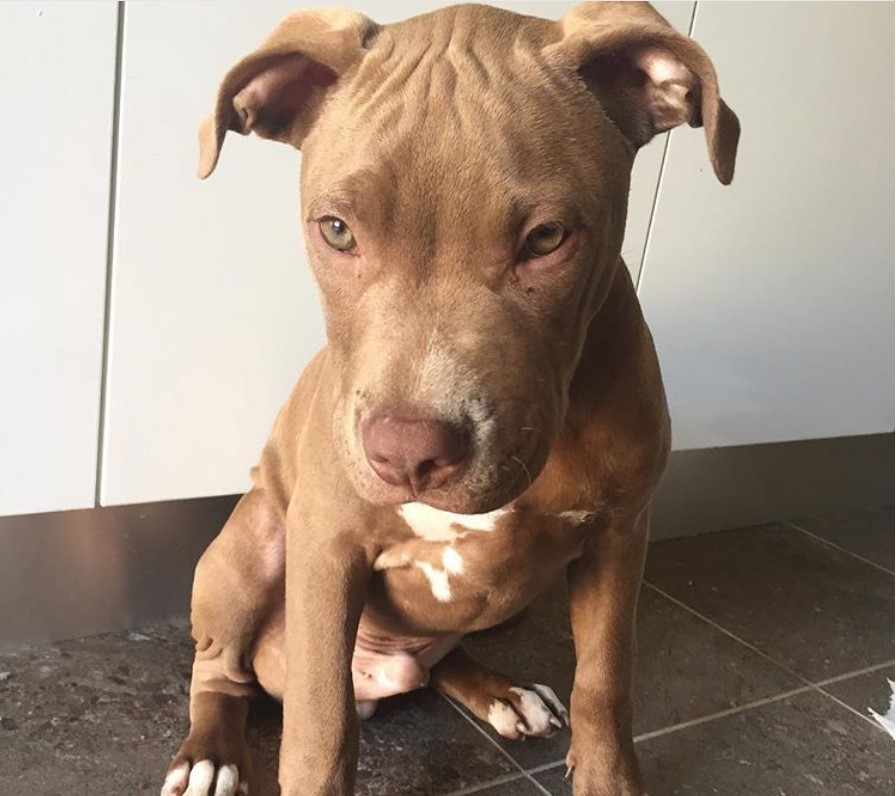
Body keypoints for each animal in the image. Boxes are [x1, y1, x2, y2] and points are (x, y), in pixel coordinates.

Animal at [158, 3, 740, 792]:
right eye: (336, 229)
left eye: (547, 238)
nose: (406, 454)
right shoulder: (327, 545)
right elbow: (319, 726)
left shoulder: (621, 537)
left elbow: (605, 681)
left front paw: (607, 776)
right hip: (248, 548)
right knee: (222, 671)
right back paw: (210, 754)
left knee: (440, 659)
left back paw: (500, 691)